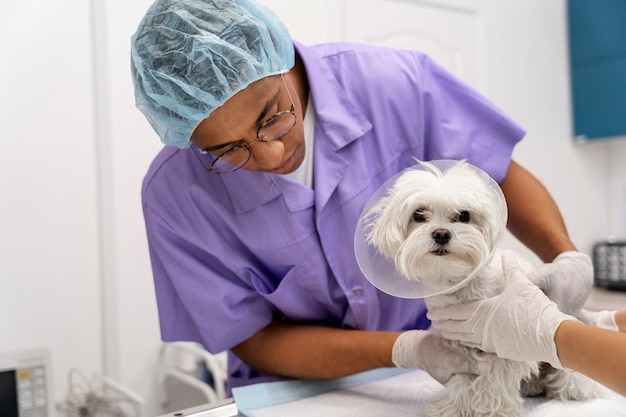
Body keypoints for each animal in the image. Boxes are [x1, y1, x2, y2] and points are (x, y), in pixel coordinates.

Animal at [364, 159, 604, 416]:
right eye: (418, 214)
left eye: (463, 215)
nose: (441, 233)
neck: (462, 287)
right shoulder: (456, 348)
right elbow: (462, 378)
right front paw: (451, 407)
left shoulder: (504, 344)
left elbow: (494, 380)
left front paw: (494, 410)